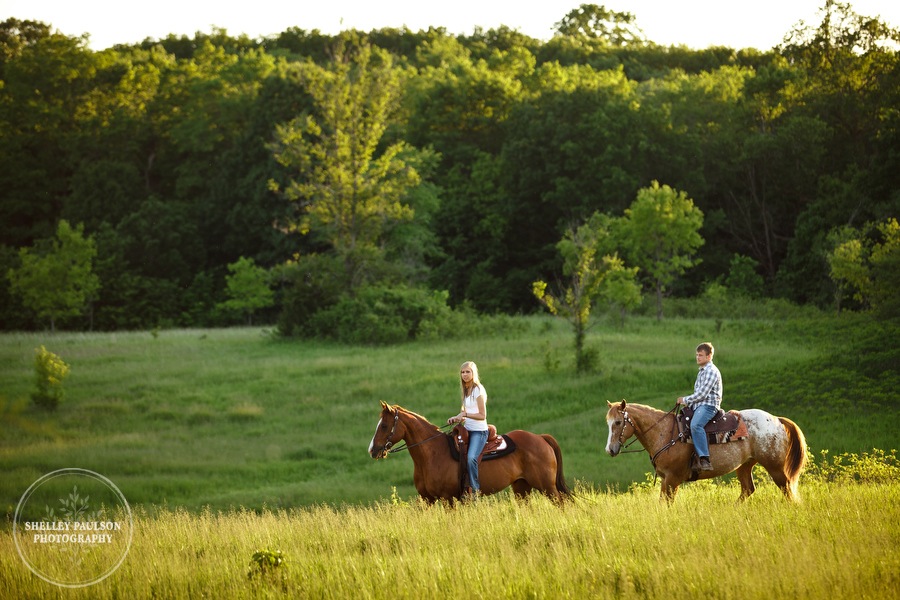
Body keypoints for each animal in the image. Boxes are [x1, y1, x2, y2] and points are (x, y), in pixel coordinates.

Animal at [368, 404, 568, 502]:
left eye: (384, 425)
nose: (372, 450)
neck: (432, 454)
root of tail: (540, 438)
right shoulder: (427, 499)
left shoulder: (448, 498)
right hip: (521, 487)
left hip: (547, 487)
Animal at [604, 400, 808, 504]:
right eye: (608, 422)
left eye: (618, 422)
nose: (610, 450)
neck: (665, 432)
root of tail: (776, 420)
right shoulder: (665, 479)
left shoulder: (672, 479)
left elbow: (666, 503)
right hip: (744, 466)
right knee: (748, 489)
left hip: (775, 467)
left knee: (787, 489)